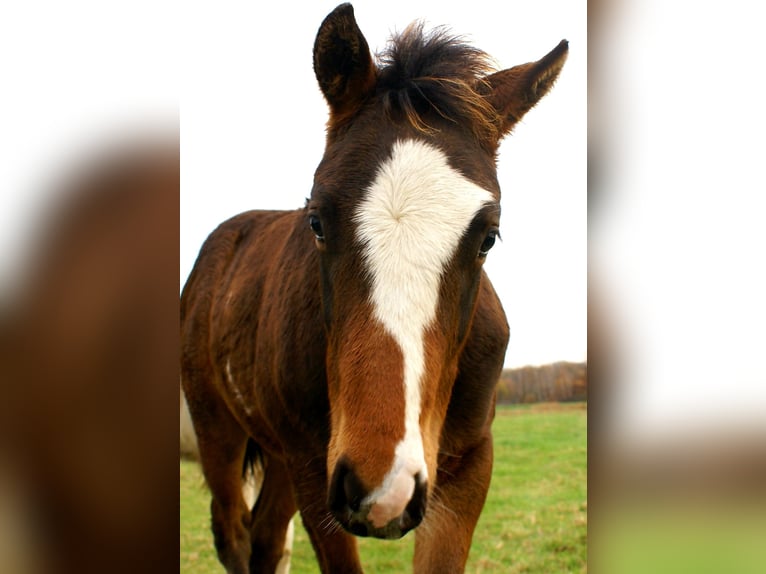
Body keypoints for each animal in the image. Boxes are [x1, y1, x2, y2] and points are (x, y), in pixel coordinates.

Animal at [180, 4, 567, 572]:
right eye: (316, 220)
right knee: (234, 534)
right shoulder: (315, 471)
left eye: (488, 237)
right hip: (221, 435)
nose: (383, 488)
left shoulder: (471, 466)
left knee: (267, 537)